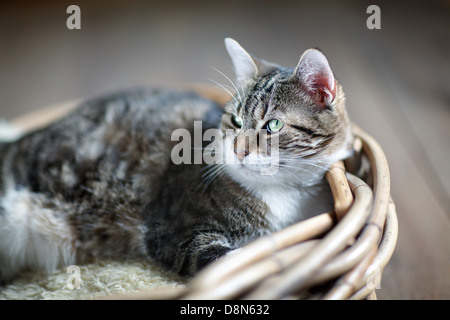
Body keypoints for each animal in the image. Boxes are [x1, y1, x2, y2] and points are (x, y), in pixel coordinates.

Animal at [0, 38, 352, 282]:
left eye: (274, 125)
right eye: (236, 121)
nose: (238, 150)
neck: (283, 193)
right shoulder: (177, 234)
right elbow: (231, 260)